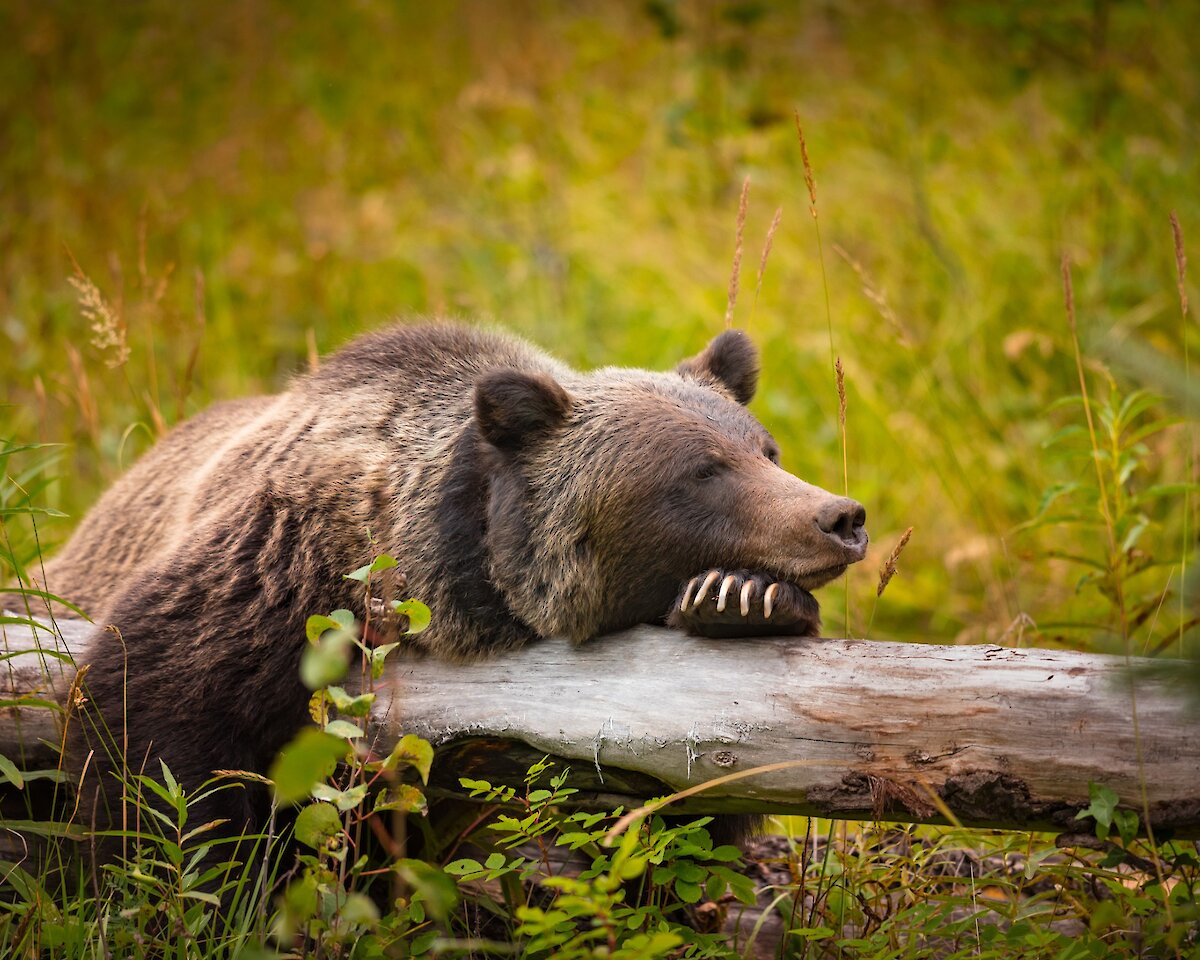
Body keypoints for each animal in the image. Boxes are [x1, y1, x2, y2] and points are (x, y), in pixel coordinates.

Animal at [4, 326, 868, 844]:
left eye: (766, 449)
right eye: (700, 471)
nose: (840, 516)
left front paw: (742, 600)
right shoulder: (279, 566)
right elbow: (154, 719)